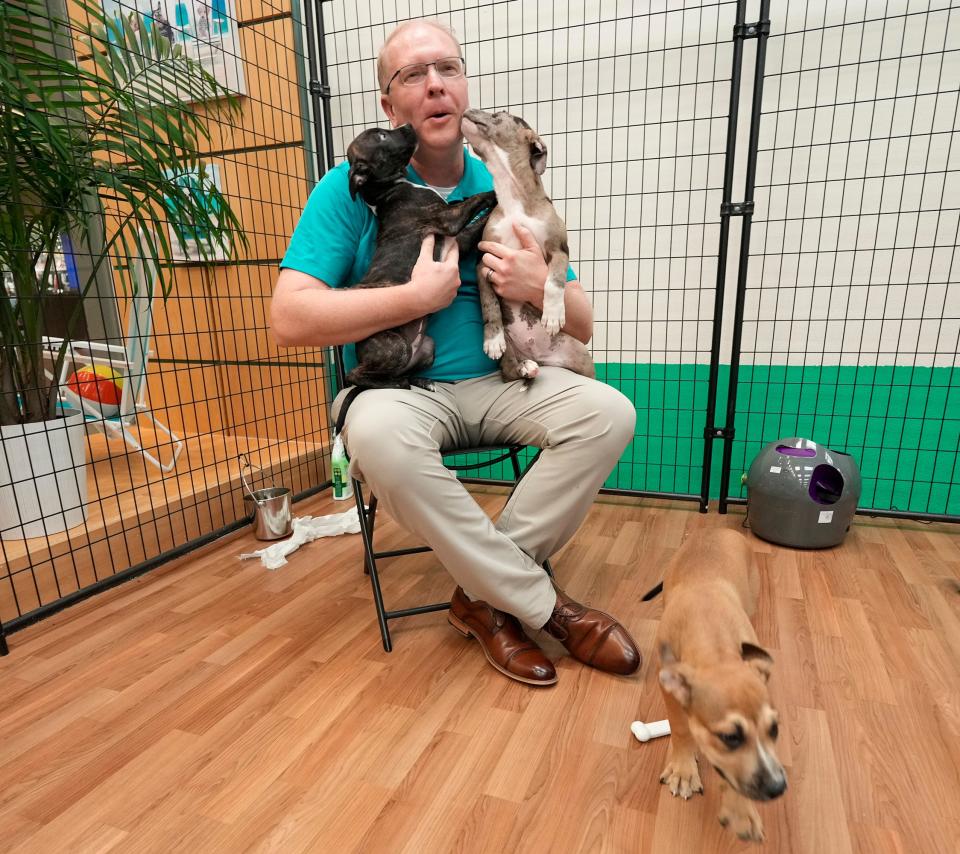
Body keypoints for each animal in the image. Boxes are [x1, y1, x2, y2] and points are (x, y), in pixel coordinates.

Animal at [344, 123, 496, 392]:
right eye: (382, 136)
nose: (408, 125)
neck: (385, 192)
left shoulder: (461, 241)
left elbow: (476, 220)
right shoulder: (448, 219)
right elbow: (479, 199)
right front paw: (497, 193)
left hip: (427, 348)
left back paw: (421, 381)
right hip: (395, 347)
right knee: (356, 376)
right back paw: (398, 383)